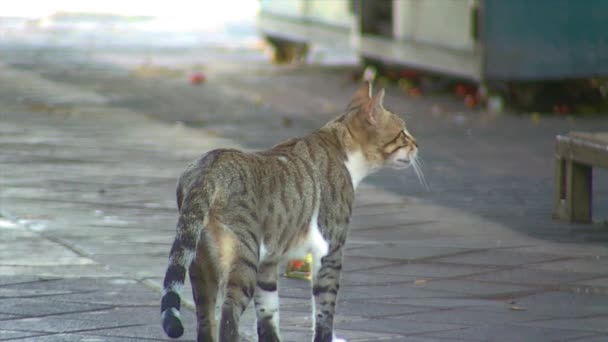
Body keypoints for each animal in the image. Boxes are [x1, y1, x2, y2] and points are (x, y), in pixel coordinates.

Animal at [160, 81, 418, 340]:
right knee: (228, 313)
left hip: (200, 260)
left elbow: (268, 310)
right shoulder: (330, 250)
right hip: (244, 256)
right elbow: (324, 308)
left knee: (205, 318)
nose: (417, 145)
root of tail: (209, 167)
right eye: (402, 134)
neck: (339, 144)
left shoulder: (268, 260)